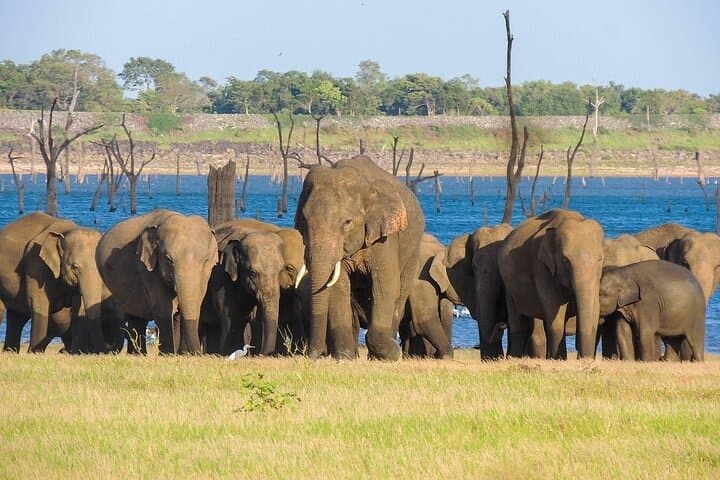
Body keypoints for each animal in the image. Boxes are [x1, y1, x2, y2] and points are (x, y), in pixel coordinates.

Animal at [0, 212, 122, 353]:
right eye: (74, 267)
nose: (103, 351)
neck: (65, 231)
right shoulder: (36, 264)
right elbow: (39, 305)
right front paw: (34, 353)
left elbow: (78, 309)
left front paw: (75, 353)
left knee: (16, 318)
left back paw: (10, 351)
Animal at [96, 209, 217, 355]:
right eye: (168, 259)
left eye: (205, 260)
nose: (197, 353)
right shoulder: (147, 267)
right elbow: (163, 307)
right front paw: (168, 355)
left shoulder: (206, 275)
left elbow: (195, 303)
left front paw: (181, 355)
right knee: (136, 316)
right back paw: (138, 354)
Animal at [294, 154, 425, 361]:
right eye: (303, 220)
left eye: (347, 222)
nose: (312, 354)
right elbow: (339, 285)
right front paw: (344, 356)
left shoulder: (384, 238)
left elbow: (386, 283)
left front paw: (393, 354)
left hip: (412, 254)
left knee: (399, 299)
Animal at [498, 209, 605, 359]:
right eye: (565, 261)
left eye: (600, 259)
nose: (584, 358)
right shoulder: (541, 267)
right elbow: (554, 312)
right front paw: (559, 359)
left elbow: (594, 308)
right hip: (509, 286)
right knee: (519, 323)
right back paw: (514, 357)